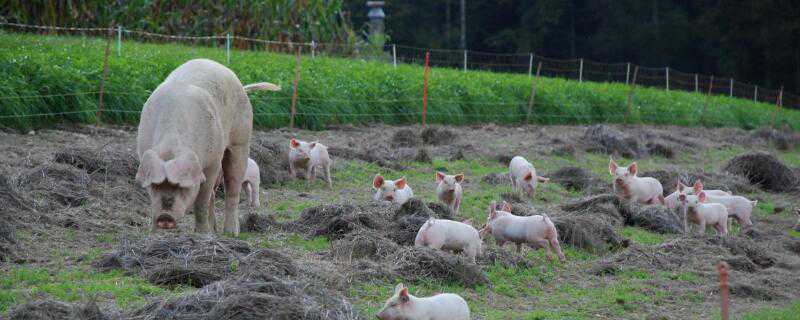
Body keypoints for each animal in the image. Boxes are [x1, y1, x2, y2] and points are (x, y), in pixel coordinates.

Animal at [134, 59, 278, 235]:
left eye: (183, 186)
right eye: (155, 185)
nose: (165, 217)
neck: (172, 145)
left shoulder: (212, 163)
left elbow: (201, 201)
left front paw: (202, 234)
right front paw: (154, 235)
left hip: (241, 139)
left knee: (232, 188)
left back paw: (230, 232)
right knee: (214, 196)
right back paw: (214, 230)